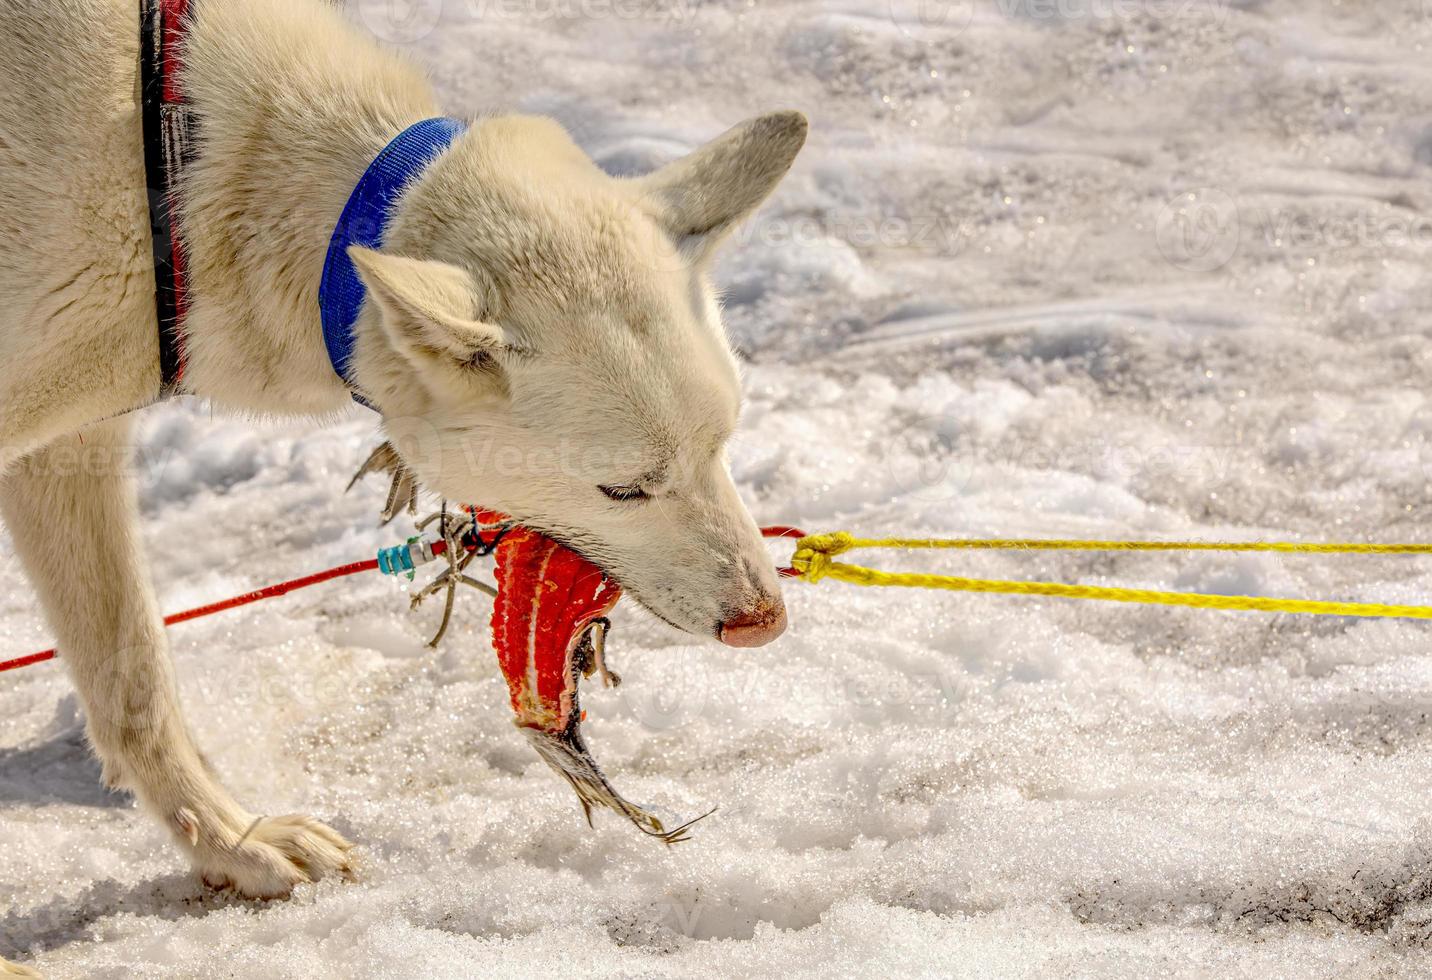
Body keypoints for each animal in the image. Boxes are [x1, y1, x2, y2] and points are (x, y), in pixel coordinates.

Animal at [0, 0, 801, 939]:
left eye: (723, 442)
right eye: (624, 489)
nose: (765, 619)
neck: (175, 174)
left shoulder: (70, 448)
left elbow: (134, 679)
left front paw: (236, 844)